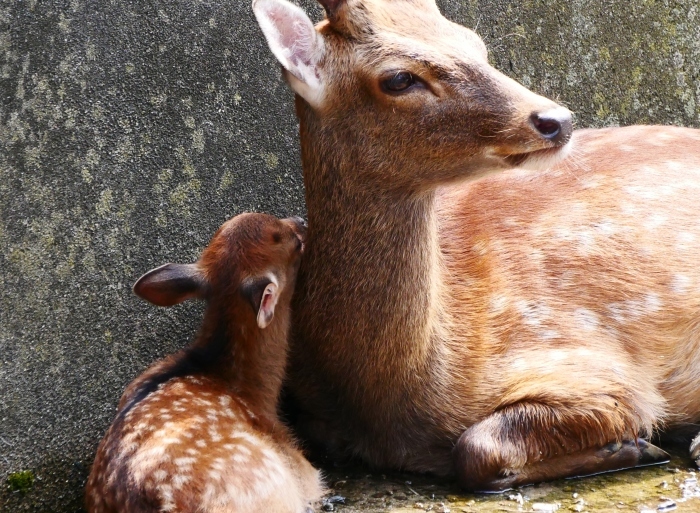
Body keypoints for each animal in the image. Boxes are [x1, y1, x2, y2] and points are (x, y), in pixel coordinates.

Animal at [254, 0, 700, 490]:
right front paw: (630, 447)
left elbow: (476, 448)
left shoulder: (595, 366)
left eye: (474, 42)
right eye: (398, 78)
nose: (555, 120)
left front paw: (634, 445)